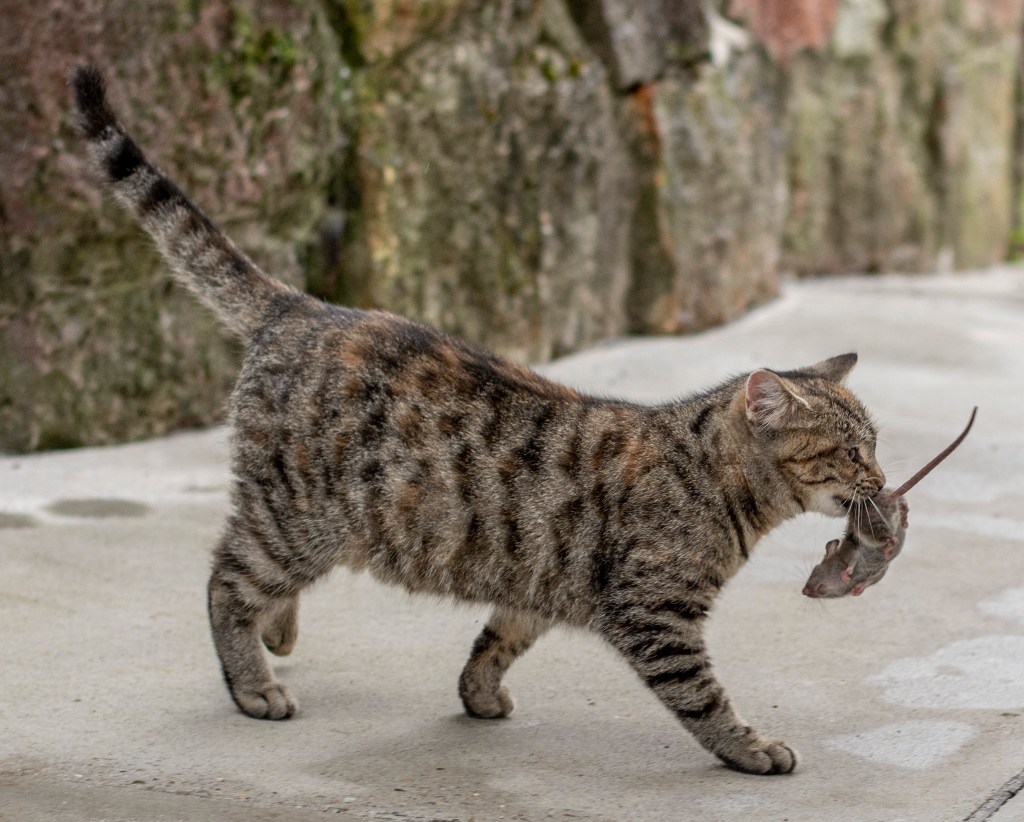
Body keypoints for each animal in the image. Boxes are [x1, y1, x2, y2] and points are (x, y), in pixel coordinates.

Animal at [72, 66, 888, 777]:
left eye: (876, 447)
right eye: (852, 454)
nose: (882, 480)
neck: (714, 482)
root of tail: (302, 305)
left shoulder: (538, 581)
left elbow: (496, 641)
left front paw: (479, 694)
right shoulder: (655, 616)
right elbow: (704, 697)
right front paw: (752, 749)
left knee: (253, 582)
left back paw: (280, 630)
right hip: (297, 517)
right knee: (226, 581)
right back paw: (253, 684)